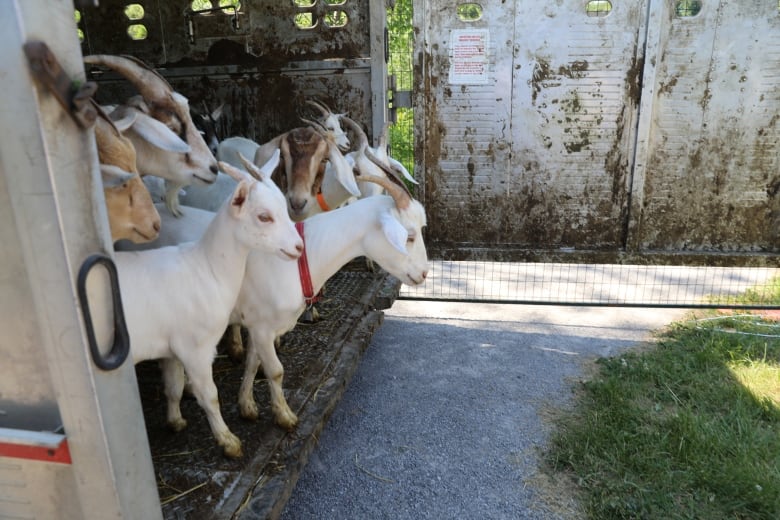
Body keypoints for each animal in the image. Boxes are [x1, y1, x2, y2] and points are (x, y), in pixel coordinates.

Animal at [109, 152, 302, 458]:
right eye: (264, 216)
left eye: (284, 207)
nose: (298, 247)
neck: (204, 267)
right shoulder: (195, 348)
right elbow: (209, 395)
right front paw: (229, 441)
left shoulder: (170, 349)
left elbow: (173, 386)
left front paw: (175, 421)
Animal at [144, 169, 430, 428]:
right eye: (410, 235)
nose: (424, 273)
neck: (305, 257)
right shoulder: (262, 327)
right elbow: (275, 370)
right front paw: (284, 416)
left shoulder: (257, 324)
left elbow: (252, 365)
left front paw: (247, 406)